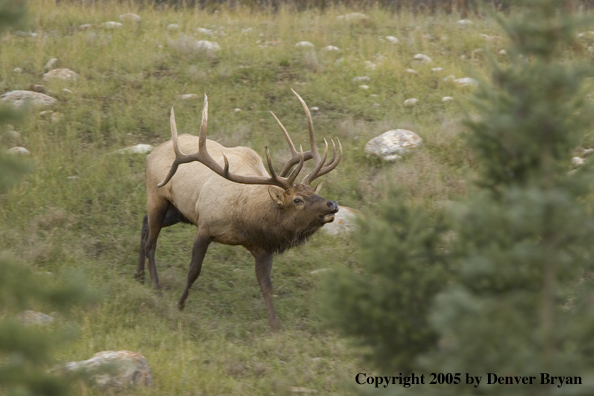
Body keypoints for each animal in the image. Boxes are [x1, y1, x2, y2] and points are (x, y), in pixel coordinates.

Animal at [134, 89, 338, 328]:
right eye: (297, 200)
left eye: (313, 191)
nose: (332, 204)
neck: (245, 220)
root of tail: (152, 152)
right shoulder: (205, 226)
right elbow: (193, 270)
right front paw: (180, 304)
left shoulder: (263, 247)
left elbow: (266, 285)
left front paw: (275, 324)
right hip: (157, 195)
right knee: (151, 241)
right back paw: (155, 286)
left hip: (179, 211)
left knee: (144, 223)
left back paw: (138, 275)